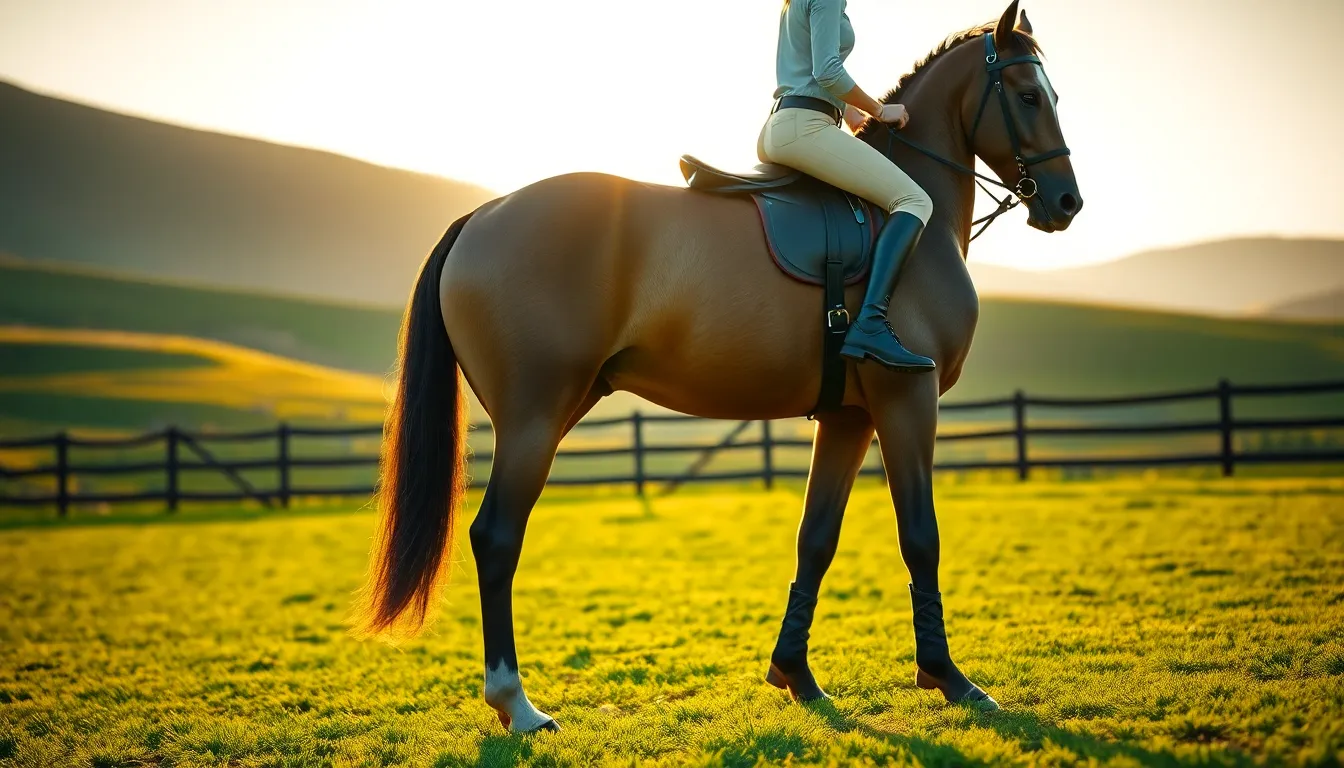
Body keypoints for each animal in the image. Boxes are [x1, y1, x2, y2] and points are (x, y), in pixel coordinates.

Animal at [360, 1, 1082, 732]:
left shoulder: (849, 416)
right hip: (534, 416)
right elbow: (921, 537)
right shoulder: (908, 399)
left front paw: (796, 676)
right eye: (1028, 95)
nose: (1066, 204)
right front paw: (949, 678)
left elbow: (816, 539)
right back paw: (517, 703)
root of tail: (483, 213)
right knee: (497, 537)